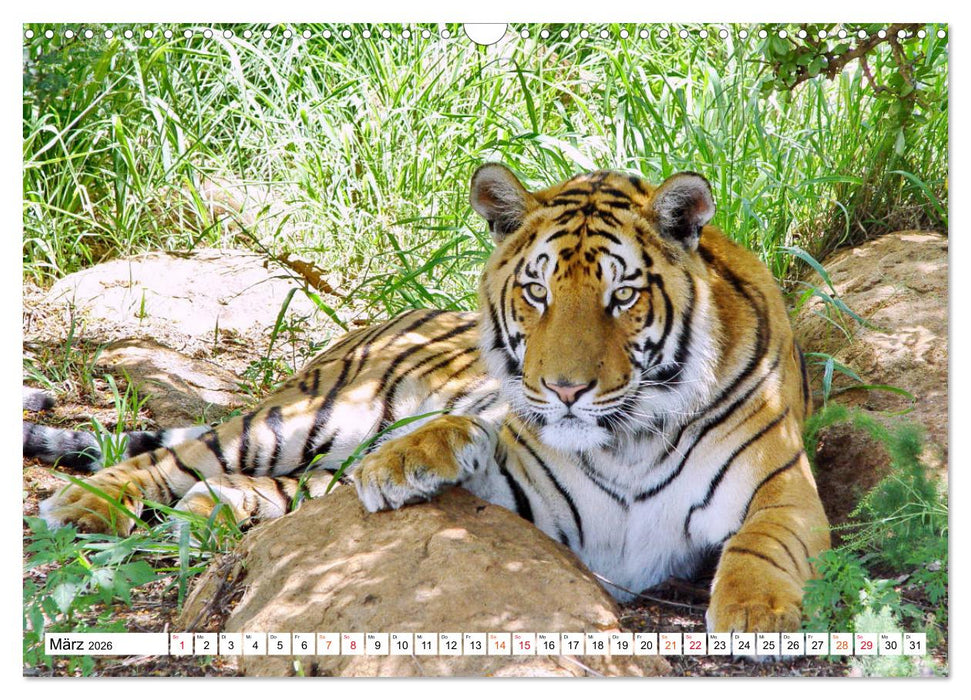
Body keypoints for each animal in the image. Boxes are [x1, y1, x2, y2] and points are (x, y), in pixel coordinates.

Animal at [32, 164, 831, 633]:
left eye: (622, 296)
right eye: (537, 292)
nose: (565, 389)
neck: (629, 438)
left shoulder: (786, 489)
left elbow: (764, 543)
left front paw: (754, 614)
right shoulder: (534, 495)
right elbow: (460, 439)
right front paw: (405, 463)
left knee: (277, 489)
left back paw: (213, 511)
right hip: (301, 415)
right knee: (187, 454)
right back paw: (85, 504)